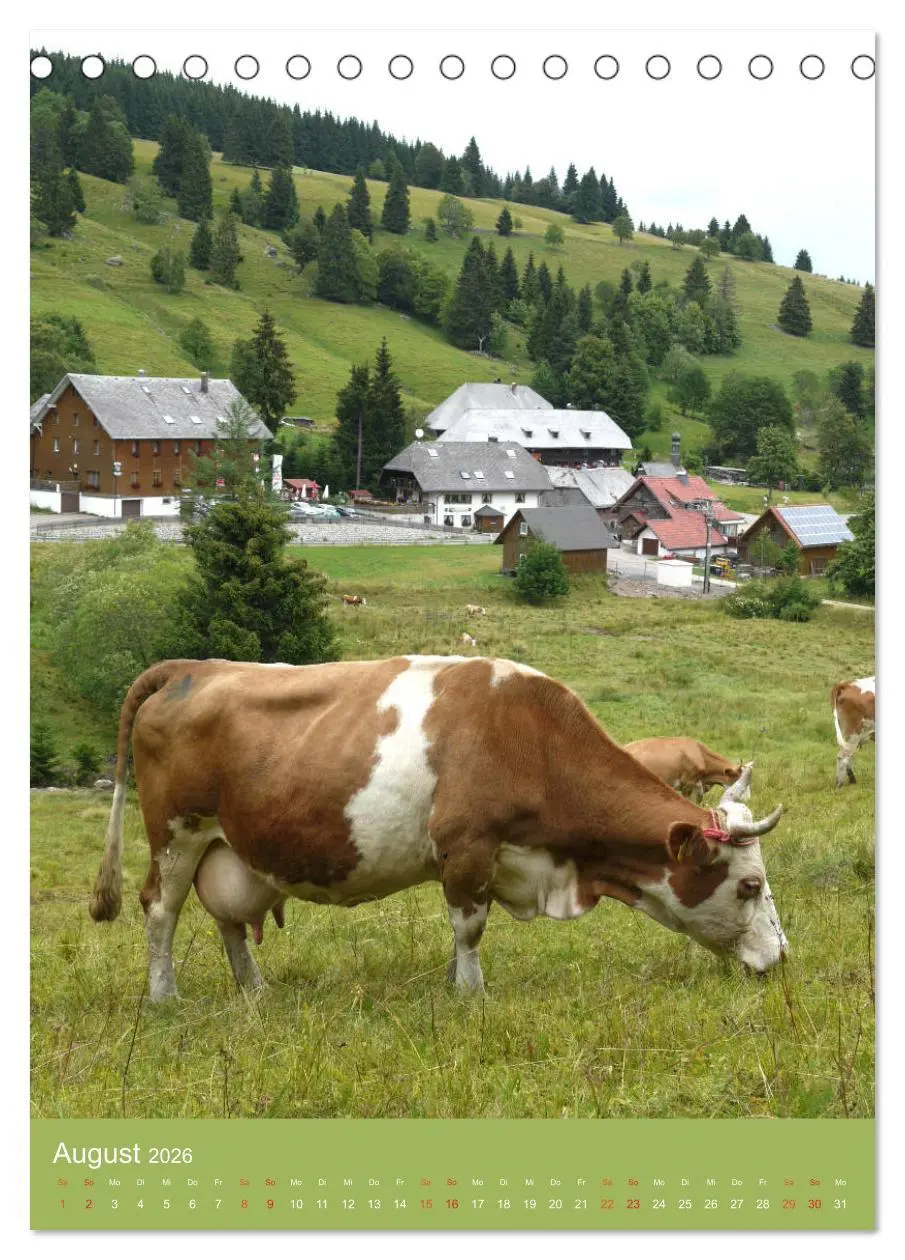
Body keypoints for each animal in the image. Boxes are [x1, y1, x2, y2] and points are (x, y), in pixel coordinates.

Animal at [90, 657, 787, 1003]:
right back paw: (164, 998)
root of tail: (195, 666)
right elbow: (469, 927)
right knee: (160, 911)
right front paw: (470, 996)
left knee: (228, 918)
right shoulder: (468, 846)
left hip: (226, 847)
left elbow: (465, 930)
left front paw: (457, 985)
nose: (781, 958)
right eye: (750, 886)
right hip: (177, 833)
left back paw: (256, 993)